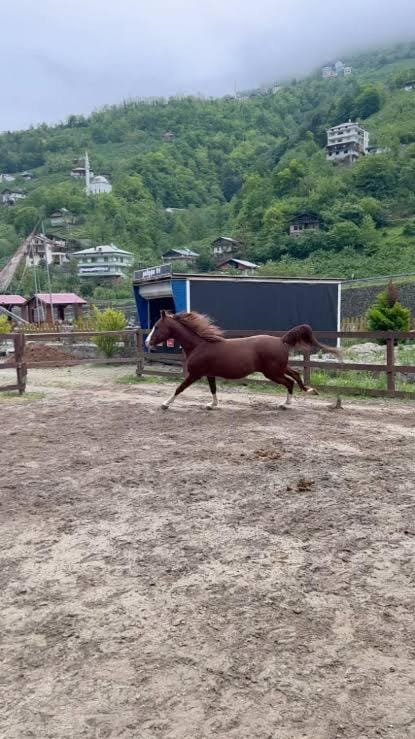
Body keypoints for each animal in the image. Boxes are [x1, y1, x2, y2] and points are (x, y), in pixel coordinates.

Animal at [146, 310, 341, 410]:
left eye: (157, 327)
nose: (147, 342)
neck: (199, 345)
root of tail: (281, 340)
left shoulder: (195, 374)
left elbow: (179, 388)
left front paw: (165, 404)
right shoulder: (209, 374)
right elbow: (213, 389)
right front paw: (212, 404)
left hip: (272, 372)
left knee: (289, 382)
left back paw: (285, 404)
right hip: (280, 368)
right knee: (296, 375)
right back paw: (309, 391)